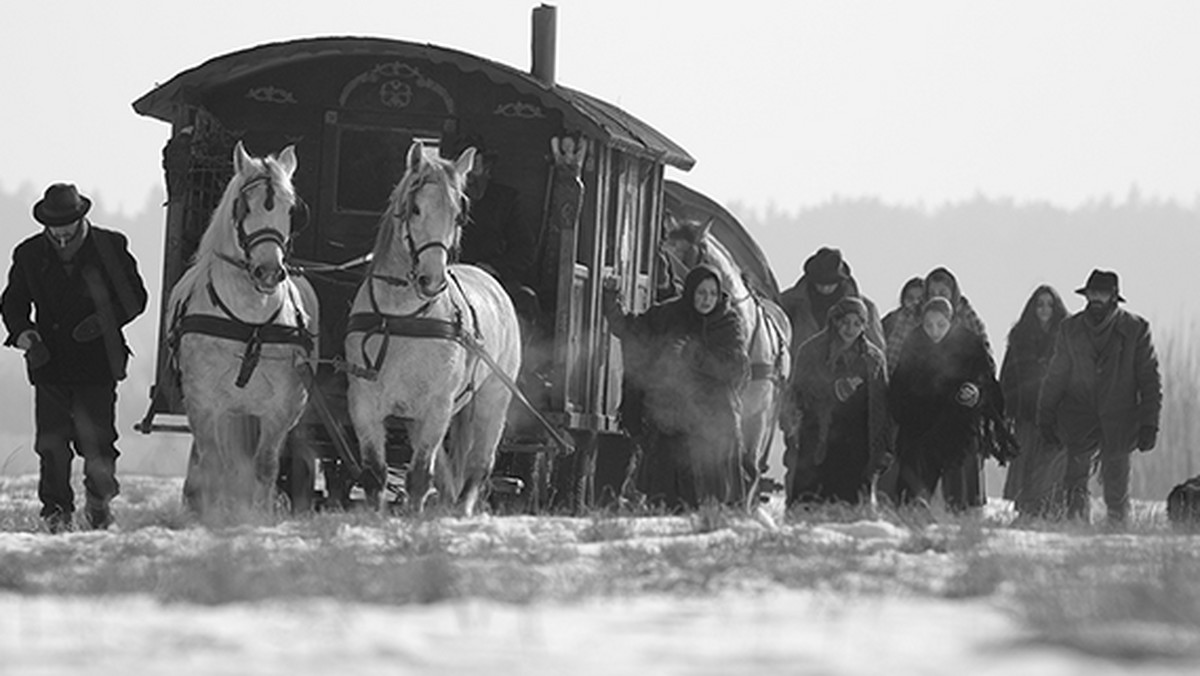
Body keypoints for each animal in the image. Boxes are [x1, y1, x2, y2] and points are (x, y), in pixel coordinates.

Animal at [170, 141, 319, 513]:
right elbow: (213, 465)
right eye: (243, 205)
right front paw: (210, 513)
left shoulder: (281, 408)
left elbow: (265, 468)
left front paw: (259, 515)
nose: (269, 272)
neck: (249, 322)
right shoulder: (204, 403)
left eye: (290, 209)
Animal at [343, 140, 520, 516]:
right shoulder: (364, 402)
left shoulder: (436, 406)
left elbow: (419, 478)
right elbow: (375, 475)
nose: (432, 280)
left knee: (478, 466)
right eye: (415, 209)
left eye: (457, 215)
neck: (401, 316)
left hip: (491, 401)